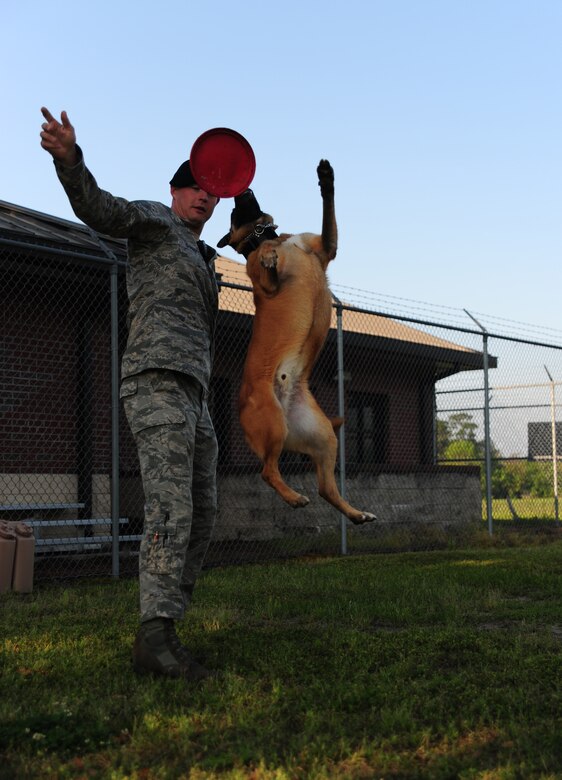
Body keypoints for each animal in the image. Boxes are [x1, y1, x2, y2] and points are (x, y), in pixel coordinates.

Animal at [219, 160, 376, 524]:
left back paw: (356, 514)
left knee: (325, 488)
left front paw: (326, 178)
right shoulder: (264, 283)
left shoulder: (325, 246)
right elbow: (266, 266)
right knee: (267, 471)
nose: (240, 190)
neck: (271, 237)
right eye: (233, 211)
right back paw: (293, 498)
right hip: (272, 423)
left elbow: (328, 209)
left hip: (323, 436)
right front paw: (269, 257)